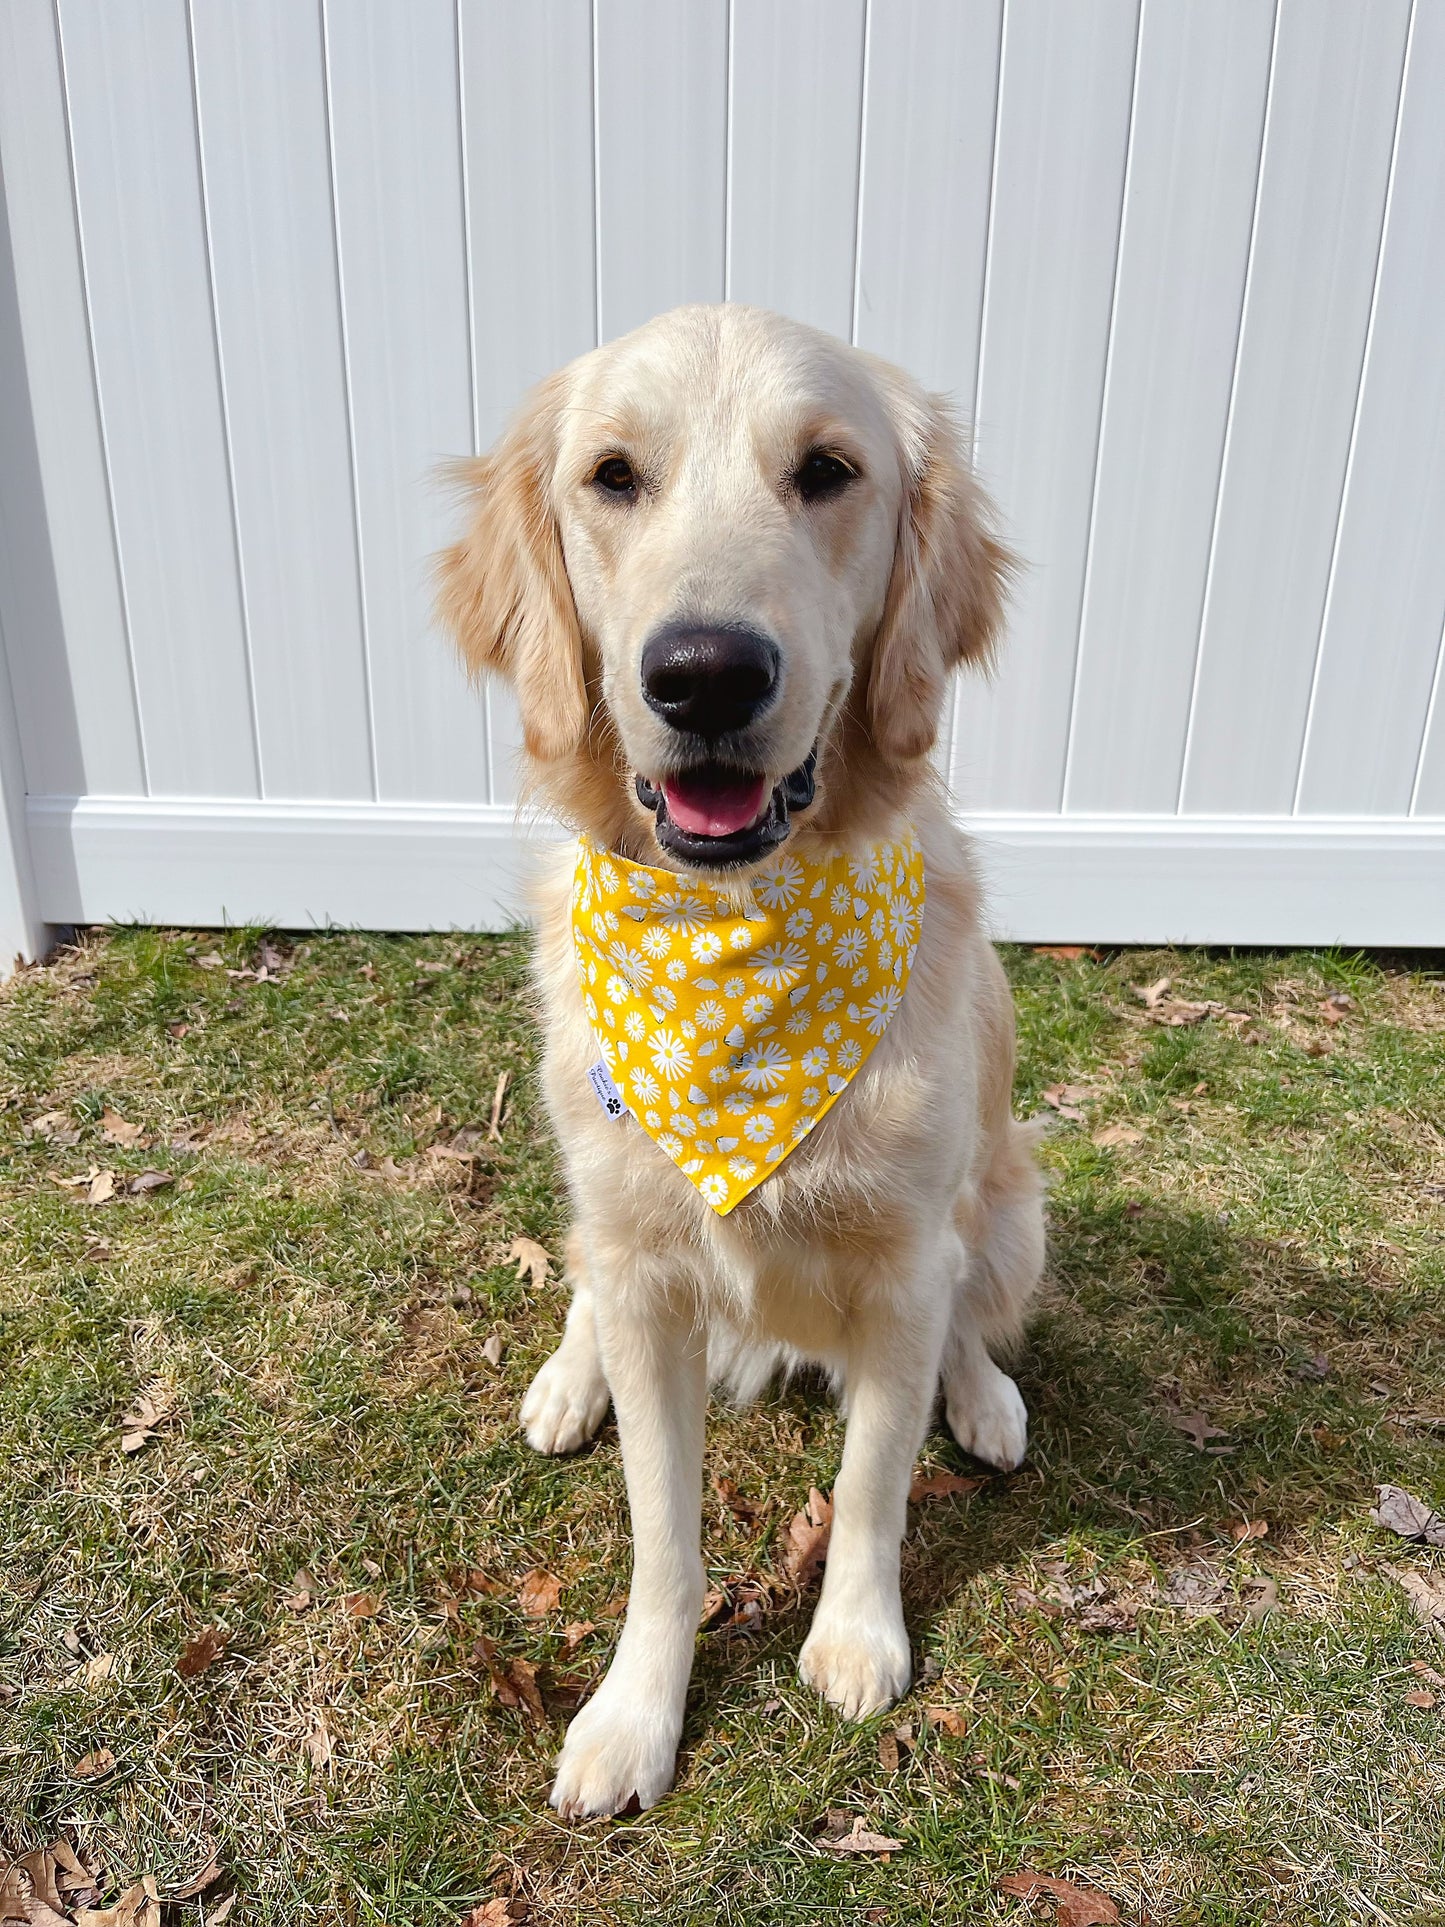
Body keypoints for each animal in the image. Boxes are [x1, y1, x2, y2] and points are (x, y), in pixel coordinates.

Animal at [435, 304, 1048, 1819]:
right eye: (611, 476)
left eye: (827, 471)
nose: (704, 671)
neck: (736, 938)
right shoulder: (648, 1272)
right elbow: (663, 1535)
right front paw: (631, 1715)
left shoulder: (903, 1265)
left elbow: (875, 1479)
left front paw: (856, 1636)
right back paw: (567, 1376)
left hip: (1010, 1206)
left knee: (978, 1313)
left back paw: (985, 1397)